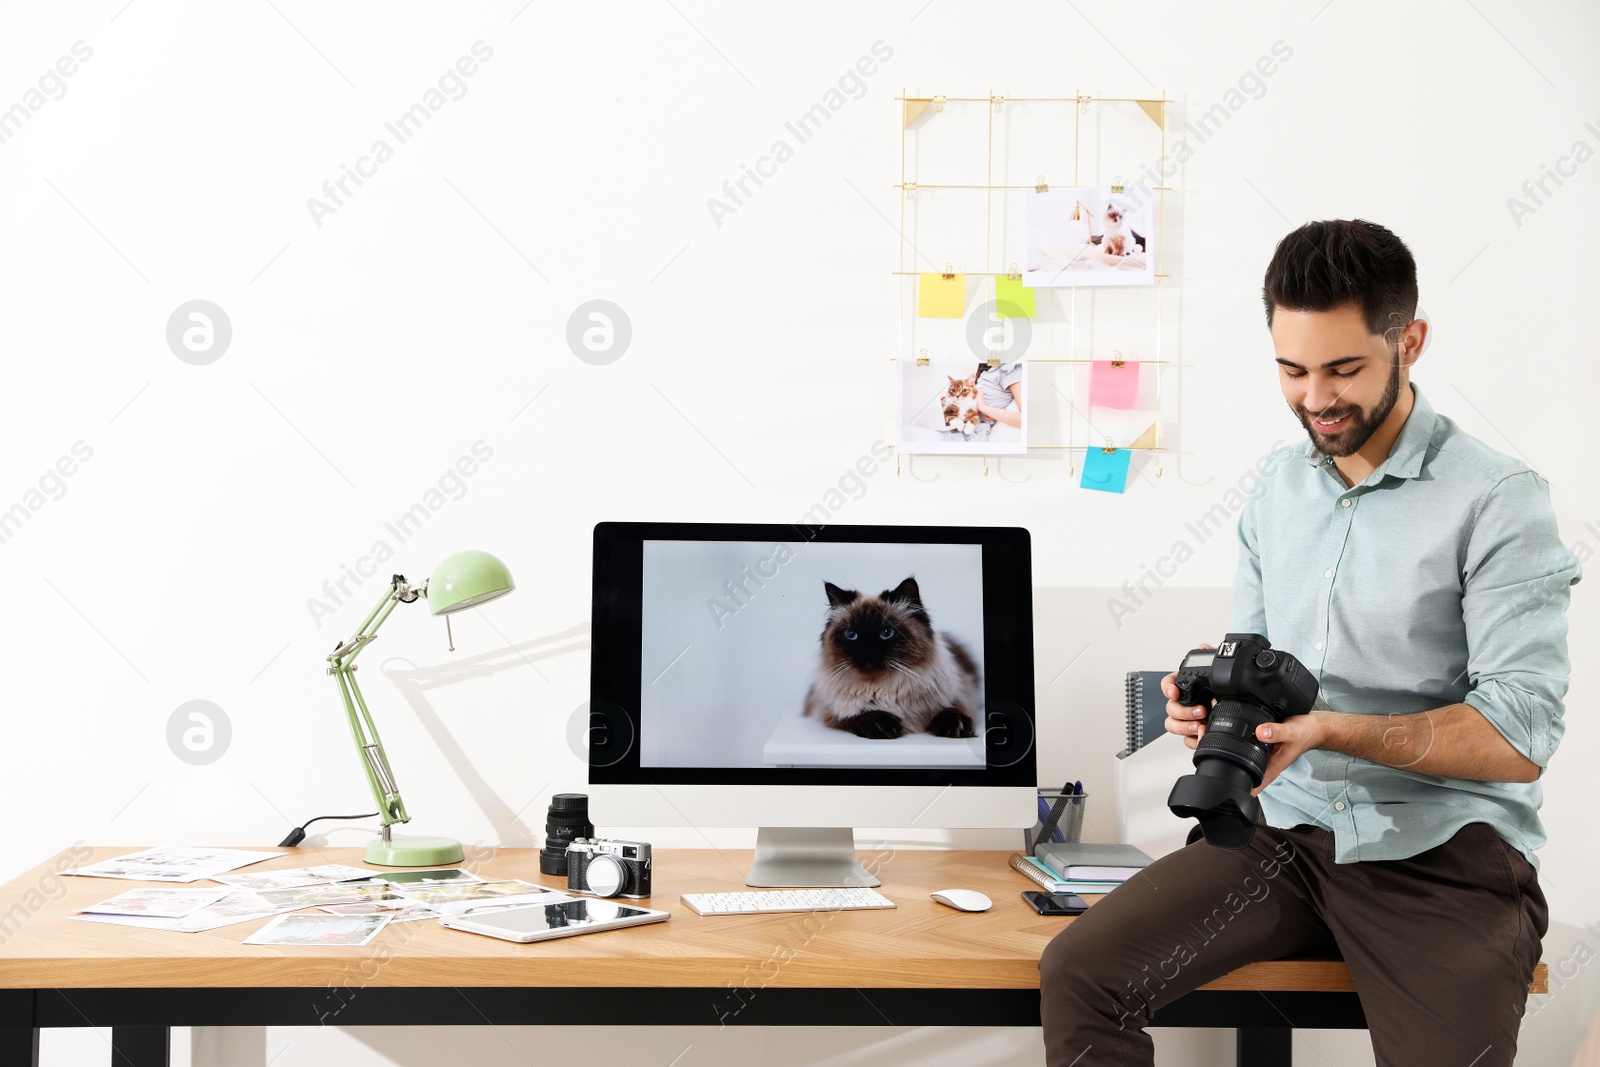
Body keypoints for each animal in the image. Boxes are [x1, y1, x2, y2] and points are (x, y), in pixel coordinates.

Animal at [806, 575, 979, 742]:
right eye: (851, 634)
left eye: (886, 633)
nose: (866, 649)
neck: (883, 689)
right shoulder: (830, 712)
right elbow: (857, 715)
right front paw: (884, 726)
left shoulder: (956, 697)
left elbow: (951, 710)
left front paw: (957, 726)